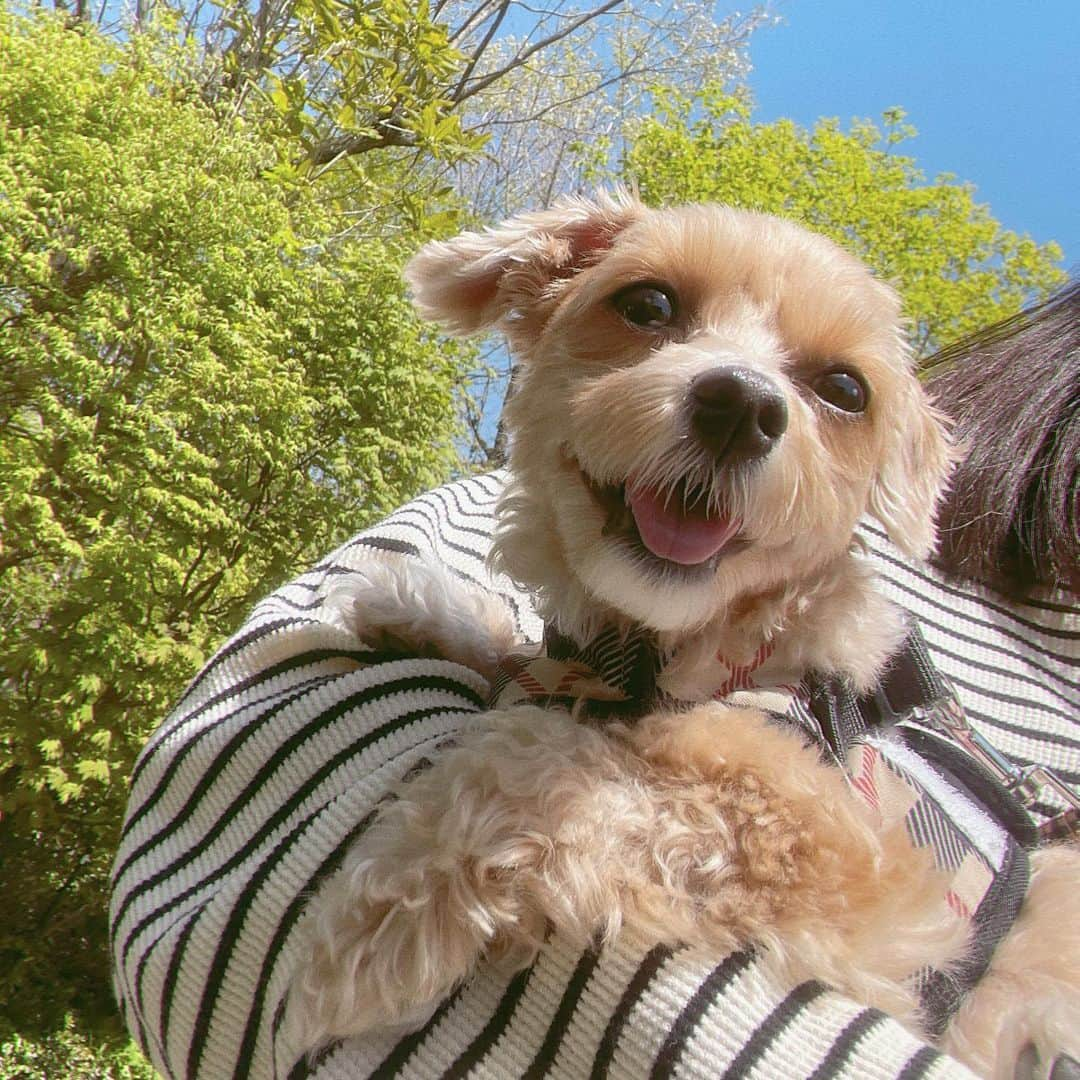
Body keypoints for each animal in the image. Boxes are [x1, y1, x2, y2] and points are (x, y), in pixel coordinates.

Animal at [295, 196, 1080, 1080]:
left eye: (846, 389)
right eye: (648, 304)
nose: (742, 405)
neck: (667, 650)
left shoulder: (842, 861)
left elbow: (540, 762)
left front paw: (372, 926)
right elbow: (527, 672)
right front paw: (417, 601)